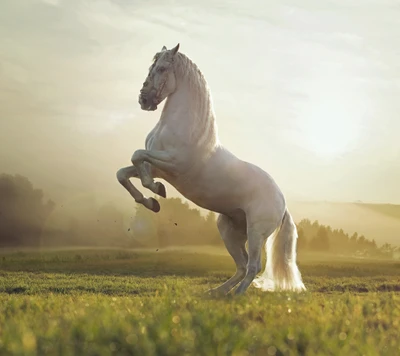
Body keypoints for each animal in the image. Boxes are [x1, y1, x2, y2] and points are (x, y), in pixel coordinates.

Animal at [116, 44, 306, 294]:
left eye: (163, 68)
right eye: (151, 66)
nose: (144, 100)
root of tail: (282, 202)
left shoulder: (173, 163)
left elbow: (137, 156)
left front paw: (156, 191)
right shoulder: (158, 168)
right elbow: (124, 172)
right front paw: (151, 201)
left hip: (256, 232)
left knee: (253, 266)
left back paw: (235, 296)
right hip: (229, 230)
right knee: (242, 266)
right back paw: (216, 293)